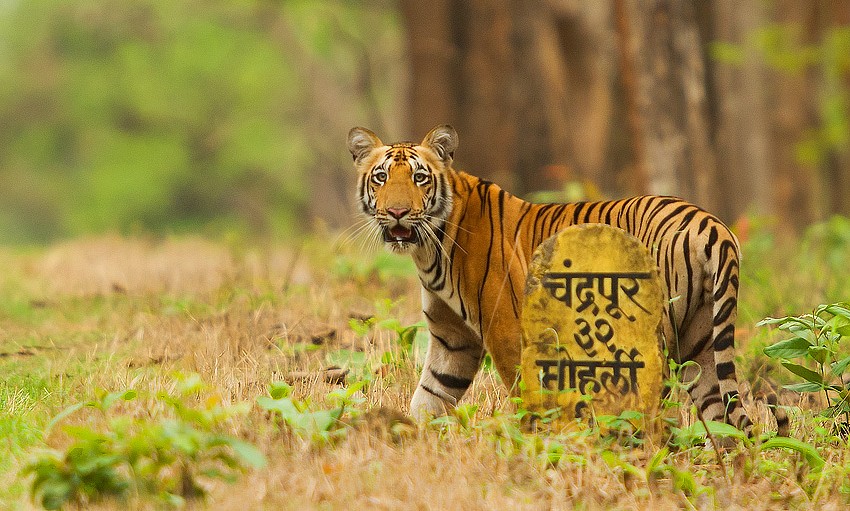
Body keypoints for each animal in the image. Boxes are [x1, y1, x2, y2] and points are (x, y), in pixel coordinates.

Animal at [348, 124, 788, 436]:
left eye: (420, 178)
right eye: (381, 177)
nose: (398, 213)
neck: (429, 248)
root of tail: (710, 224)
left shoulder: (506, 330)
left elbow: (525, 393)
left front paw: (534, 443)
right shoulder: (451, 337)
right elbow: (430, 397)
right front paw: (408, 439)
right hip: (702, 340)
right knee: (725, 420)